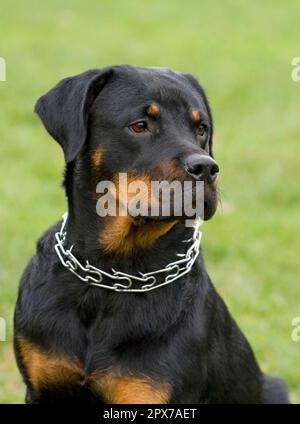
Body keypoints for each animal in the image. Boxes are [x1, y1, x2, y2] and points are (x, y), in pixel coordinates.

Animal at [13, 64, 288, 402]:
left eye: (201, 129)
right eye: (140, 126)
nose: (206, 167)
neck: (112, 273)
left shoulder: (153, 391)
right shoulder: (42, 385)